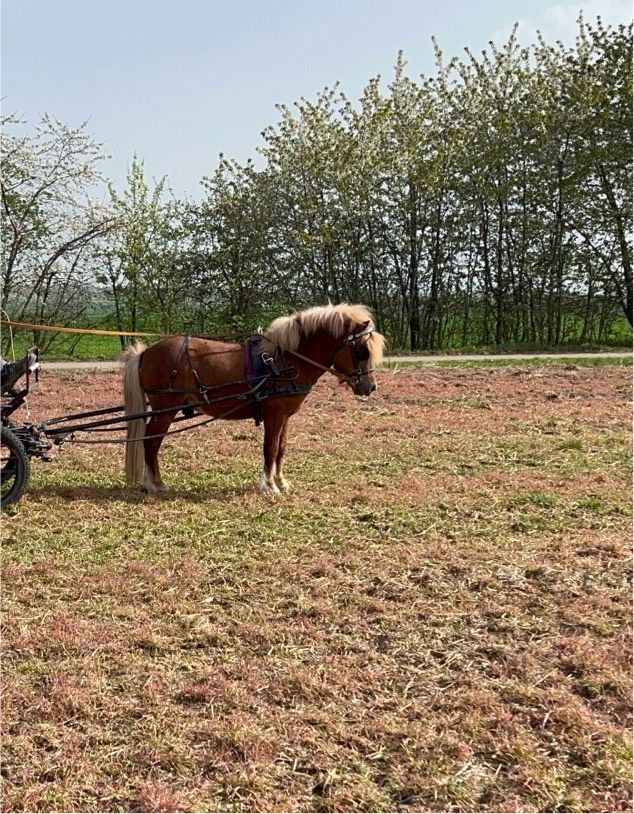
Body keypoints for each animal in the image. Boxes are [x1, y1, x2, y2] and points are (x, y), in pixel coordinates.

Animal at [121, 302, 382, 494]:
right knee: (151, 442)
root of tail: (147, 352)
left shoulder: (285, 416)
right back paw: (155, 483)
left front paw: (281, 482)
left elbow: (281, 448)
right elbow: (270, 448)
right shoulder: (274, 415)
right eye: (362, 350)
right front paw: (269, 486)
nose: (370, 387)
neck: (286, 360)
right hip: (164, 409)